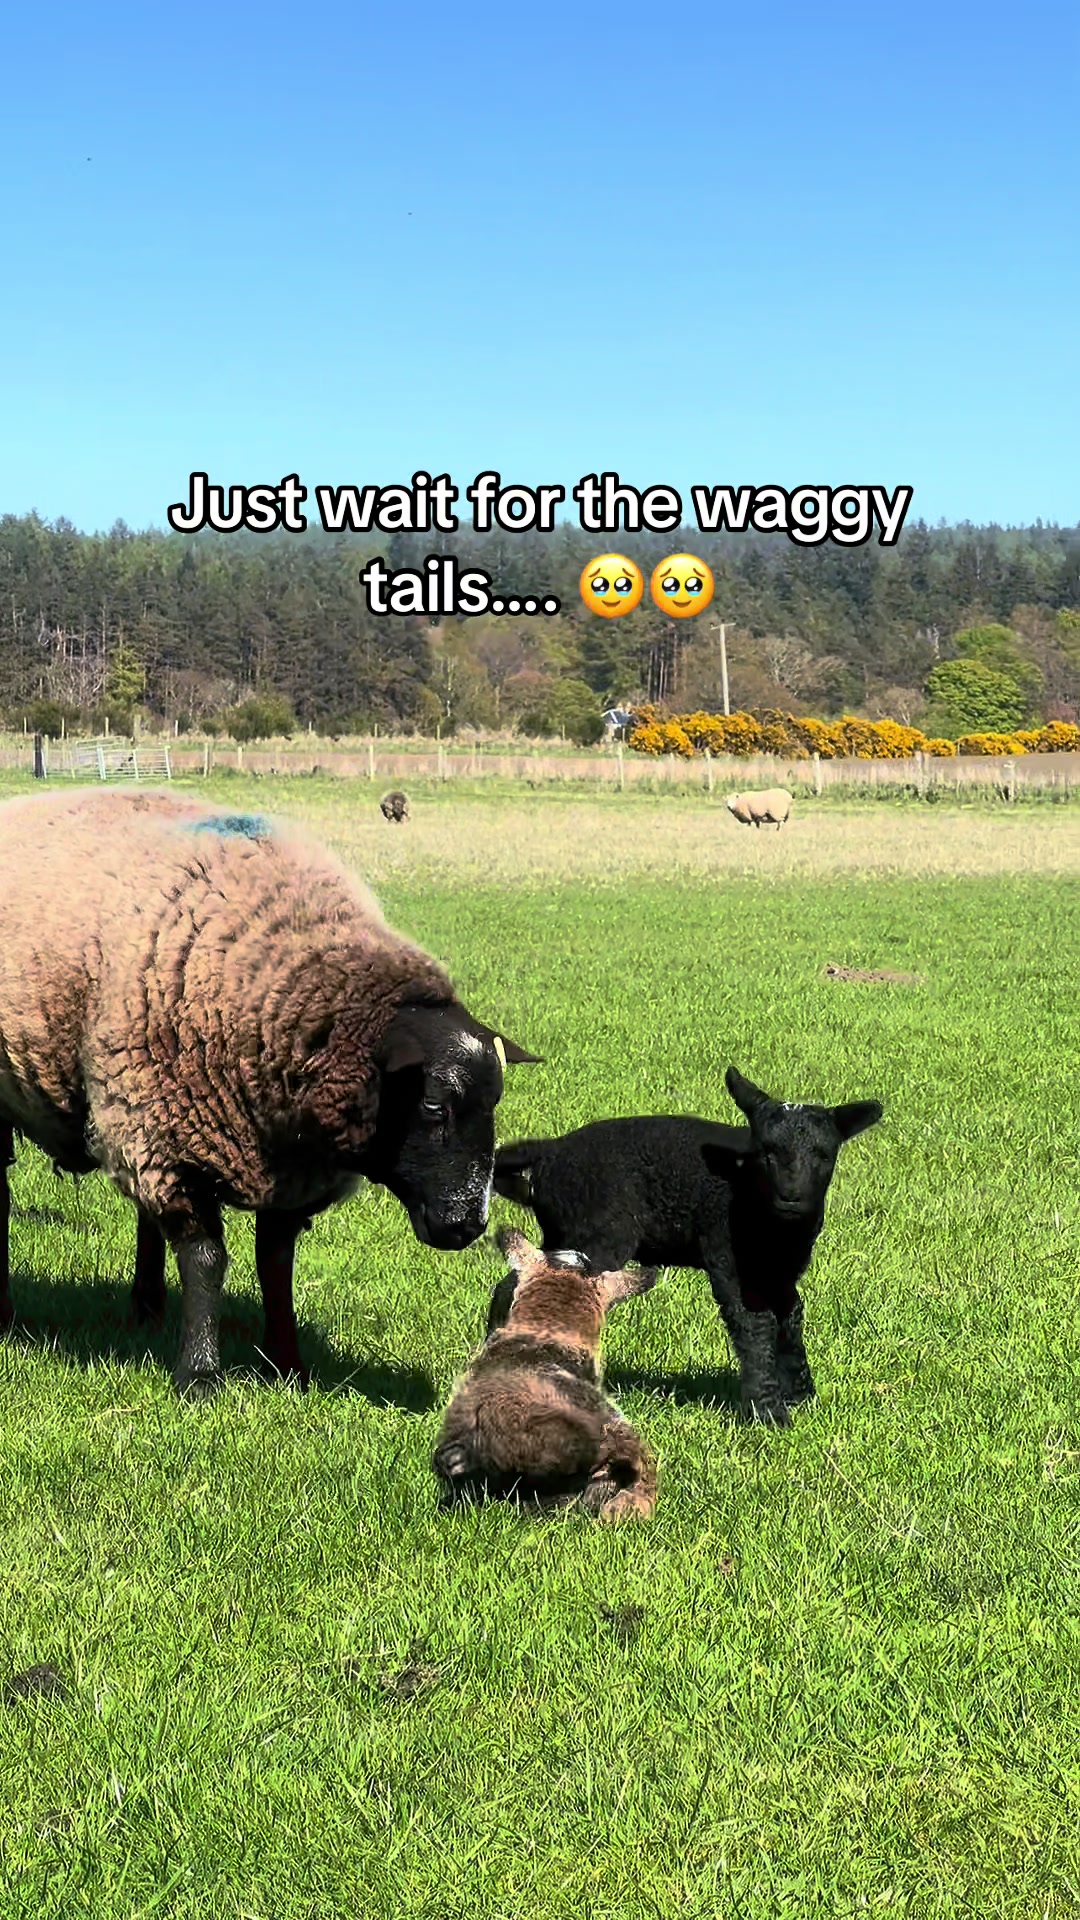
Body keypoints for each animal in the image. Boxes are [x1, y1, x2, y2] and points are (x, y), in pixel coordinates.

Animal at [0, 786, 539, 1399]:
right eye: (432, 1105)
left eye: (494, 1105)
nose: (467, 1226)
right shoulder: (170, 1135)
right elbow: (206, 1258)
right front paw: (200, 1375)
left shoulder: (285, 1168)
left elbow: (276, 1264)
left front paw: (288, 1366)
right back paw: (9, 1314)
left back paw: (146, 1307)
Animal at [494, 1067, 883, 1426]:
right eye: (765, 1153)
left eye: (824, 1155)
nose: (791, 1196)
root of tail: (550, 1151)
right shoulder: (728, 1258)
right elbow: (755, 1324)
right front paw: (768, 1414)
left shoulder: (780, 1271)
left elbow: (791, 1319)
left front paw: (802, 1396)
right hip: (594, 1233)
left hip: (562, 1232)